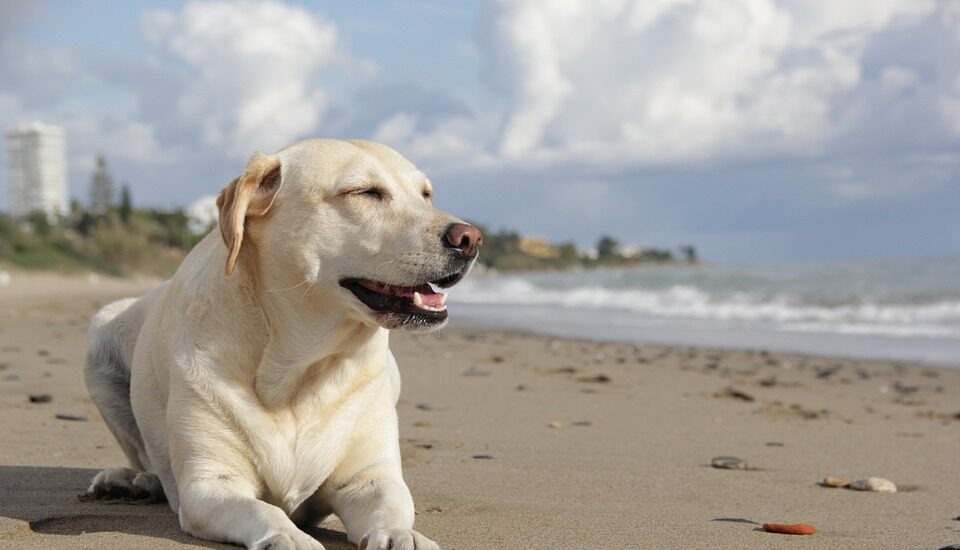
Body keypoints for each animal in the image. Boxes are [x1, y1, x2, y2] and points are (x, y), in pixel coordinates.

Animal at [84, 140, 480, 548]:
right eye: (364, 192)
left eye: (426, 194)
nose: (470, 238)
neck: (299, 370)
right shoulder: (208, 484)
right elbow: (263, 510)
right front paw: (288, 536)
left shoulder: (369, 478)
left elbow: (391, 506)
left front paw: (403, 534)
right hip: (99, 337)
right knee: (145, 459)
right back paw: (132, 481)